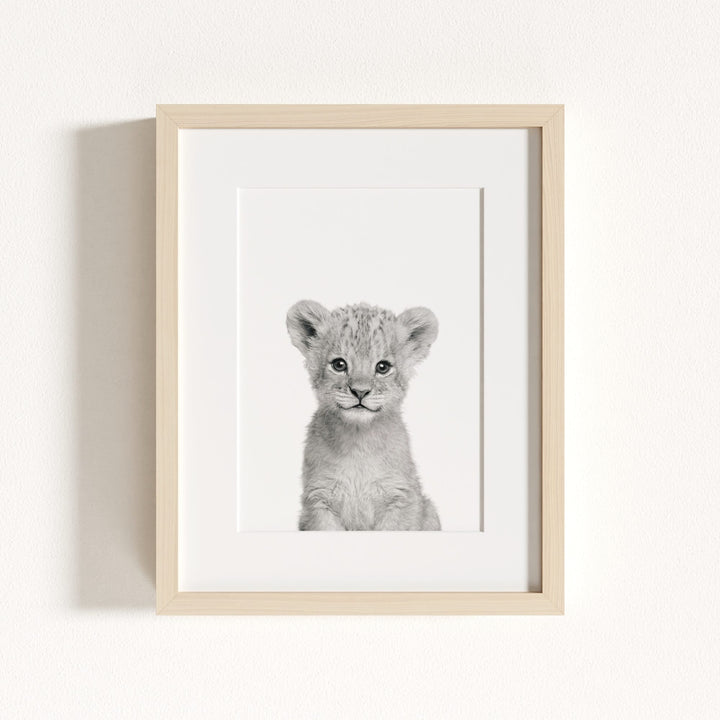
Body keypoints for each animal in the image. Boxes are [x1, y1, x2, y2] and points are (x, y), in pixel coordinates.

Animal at [286, 300, 441, 531]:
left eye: (383, 367)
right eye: (339, 364)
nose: (360, 392)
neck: (358, 442)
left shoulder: (402, 498)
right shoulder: (318, 499)